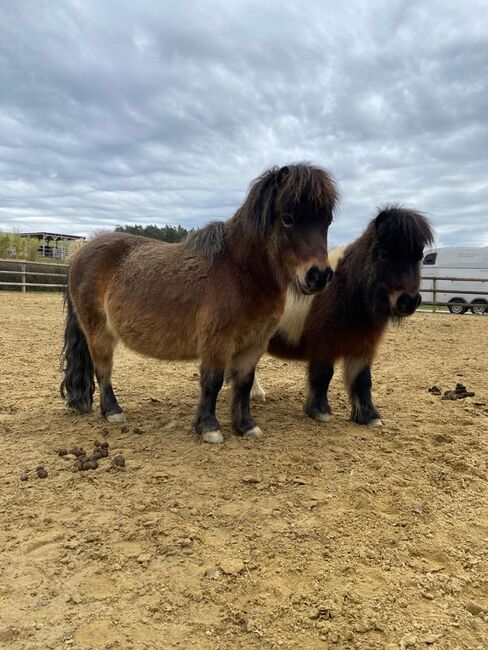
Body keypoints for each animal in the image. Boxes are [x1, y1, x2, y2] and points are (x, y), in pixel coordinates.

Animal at [61, 165, 340, 442]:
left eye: (327, 221)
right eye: (288, 218)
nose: (319, 275)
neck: (241, 270)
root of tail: (79, 254)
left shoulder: (254, 344)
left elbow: (244, 383)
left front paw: (246, 426)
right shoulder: (216, 342)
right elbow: (212, 381)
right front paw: (209, 427)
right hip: (99, 332)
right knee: (103, 370)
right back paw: (113, 411)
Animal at [250, 206, 432, 426]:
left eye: (419, 256)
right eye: (383, 254)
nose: (408, 300)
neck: (344, 292)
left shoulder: (363, 347)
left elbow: (363, 380)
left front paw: (368, 417)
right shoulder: (324, 346)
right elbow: (323, 375)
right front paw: (320, 411)